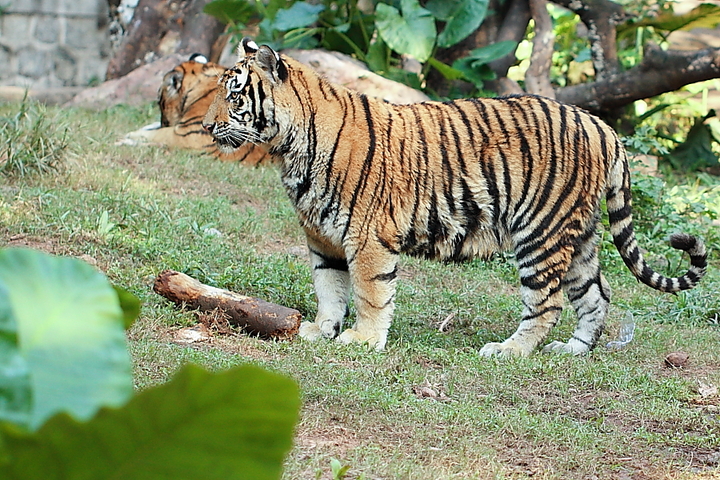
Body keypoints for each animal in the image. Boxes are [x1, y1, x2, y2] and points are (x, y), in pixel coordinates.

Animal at [200, 38, 704, 356]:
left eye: (234, 96)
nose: (204, 125)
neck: (289, 148)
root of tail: (602, 125)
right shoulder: (321, 236)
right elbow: (328, 288)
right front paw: (320, 330)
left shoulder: (367, 236)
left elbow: (368, 292)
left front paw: (362, 341)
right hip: (578, 236)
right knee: (596, 295)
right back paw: (572, 351)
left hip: (541, 232)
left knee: (549, 303)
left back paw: (509, 351)